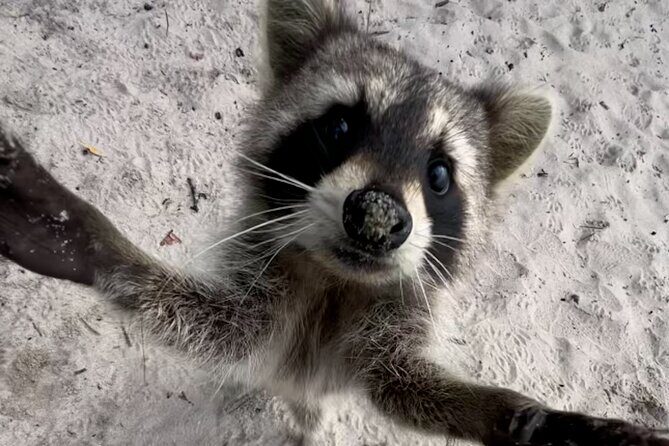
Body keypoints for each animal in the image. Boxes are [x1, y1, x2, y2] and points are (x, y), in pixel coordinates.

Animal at [0, 1, 667, 445]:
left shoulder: (399, 315)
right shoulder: (262, 271)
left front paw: (520, 417)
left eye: (440, 175)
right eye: (340, 126)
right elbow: (225, 328)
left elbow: (405, 386)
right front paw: (105, 249)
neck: (337, 280)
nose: (377, 218)